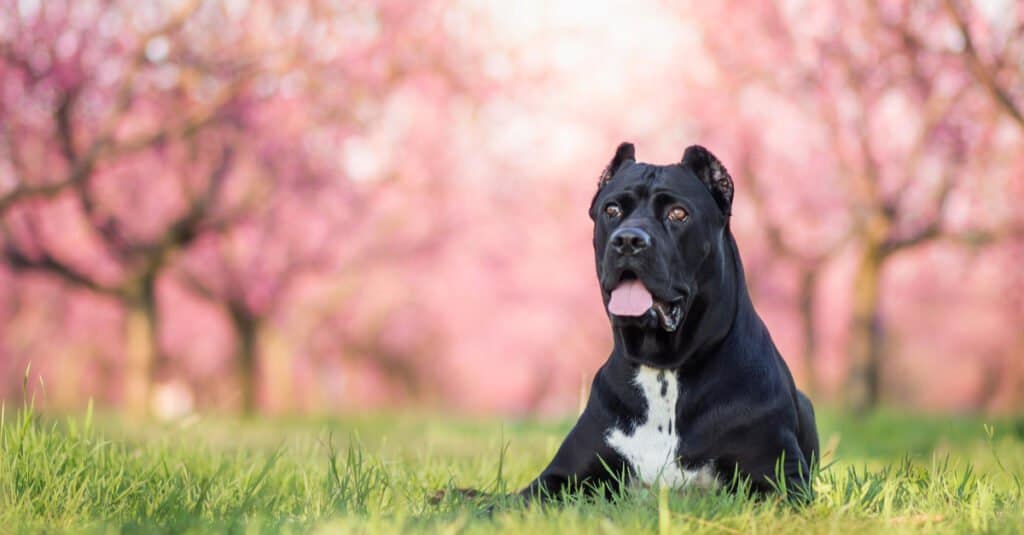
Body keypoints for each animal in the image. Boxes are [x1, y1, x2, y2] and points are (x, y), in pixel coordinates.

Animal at [520, 142, 815, 500]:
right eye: (611, 210)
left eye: (678, 214)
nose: (628, 240)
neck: (664, 368)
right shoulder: (556, 478)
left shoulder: (782, 480)